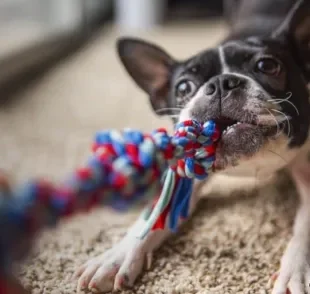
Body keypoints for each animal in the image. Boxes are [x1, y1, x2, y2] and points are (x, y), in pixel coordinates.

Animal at [73, 1, 310, 292]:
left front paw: (295, 270)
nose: (221, 83)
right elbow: (155, 213)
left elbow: (305, 227)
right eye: (184, 87)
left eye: (267, 65)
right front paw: (117, 256)